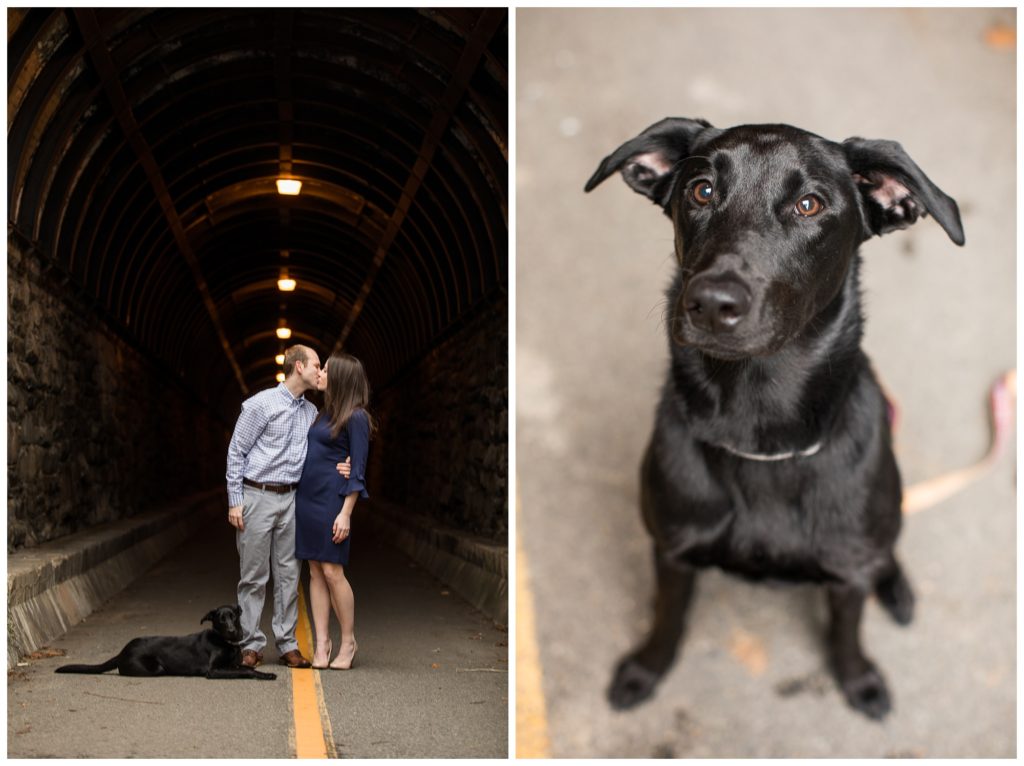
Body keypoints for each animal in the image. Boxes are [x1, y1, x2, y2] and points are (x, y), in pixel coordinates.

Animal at [54, 606, 274, 684]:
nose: (232, 631)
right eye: (220, 620)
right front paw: (265, 675)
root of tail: (122, 651)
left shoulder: (232, 664)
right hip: (155, 668)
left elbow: (244, 666)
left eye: (234, 617)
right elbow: (246, 670)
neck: (226, 642)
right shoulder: (214, 671)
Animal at [589, 118, 962, 716]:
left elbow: (846, 632)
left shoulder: (847, 572)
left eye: (809, 204)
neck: (761, 435)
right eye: (702, 191)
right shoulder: (672, 551)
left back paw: (896, 587)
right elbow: (668, 618)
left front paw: (859, 680)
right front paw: (647, 669)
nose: (712, 302)